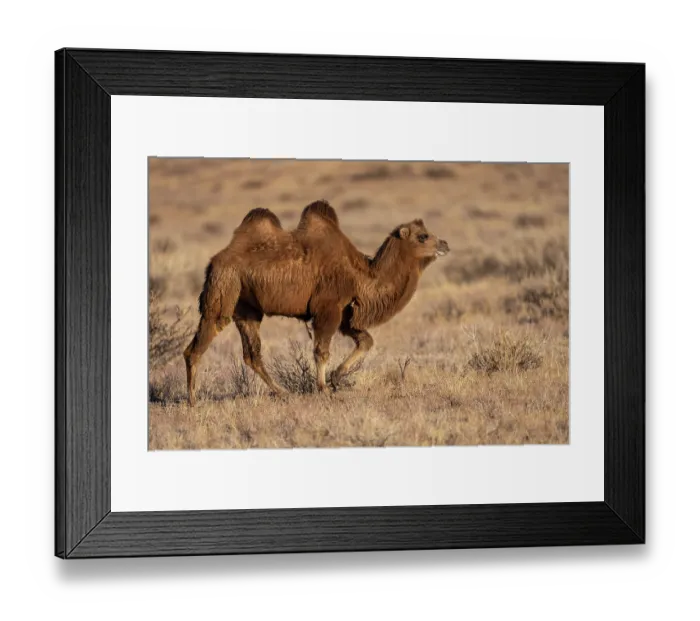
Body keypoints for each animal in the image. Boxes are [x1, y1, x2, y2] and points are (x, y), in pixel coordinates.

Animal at [184, 200, 450, 405]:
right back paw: (193, 401)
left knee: (252, 354)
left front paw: (336, 377)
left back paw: (282, 392)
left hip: (246, 307)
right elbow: (321, 351)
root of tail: (214, 261)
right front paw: (322, 388)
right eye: (423, 236)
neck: (361, 275)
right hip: (224, 288)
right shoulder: (328, 307)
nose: (445, 244)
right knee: (199, 343)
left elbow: (366, 340)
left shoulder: (345, 312)